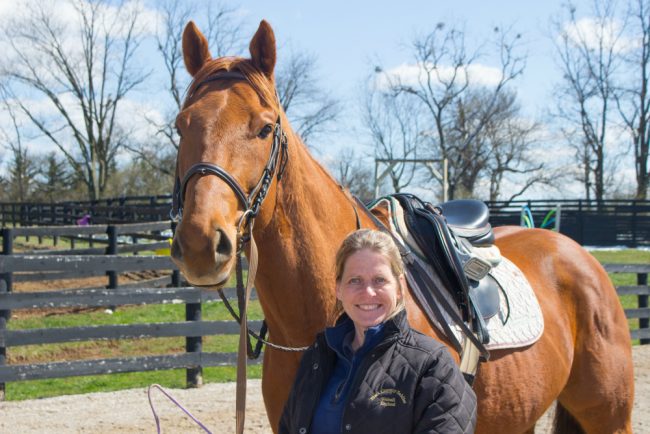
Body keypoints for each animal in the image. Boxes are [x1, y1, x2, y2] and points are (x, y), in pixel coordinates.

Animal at [170, 19, 632, 430]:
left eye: (265, 128)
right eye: (180, 127)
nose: (200, 242)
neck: (323, 322)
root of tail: (578, 256)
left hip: (610, 417)